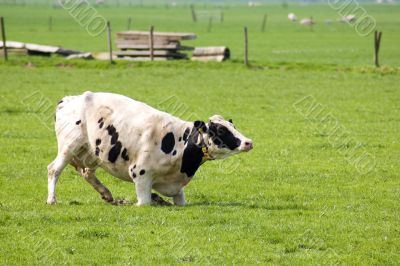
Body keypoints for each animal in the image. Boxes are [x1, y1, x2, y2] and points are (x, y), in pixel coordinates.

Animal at [47, 91, 253, 206]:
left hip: (92, 152)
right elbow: (144, 202)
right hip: (69, 145)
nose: (248, 142)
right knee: (53, 169)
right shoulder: (140, 174)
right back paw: (52, 200)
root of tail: (70, 99)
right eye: (220, 130)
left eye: (233, 126)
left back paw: (106, 194)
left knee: (87, 172)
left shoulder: (177, 188)